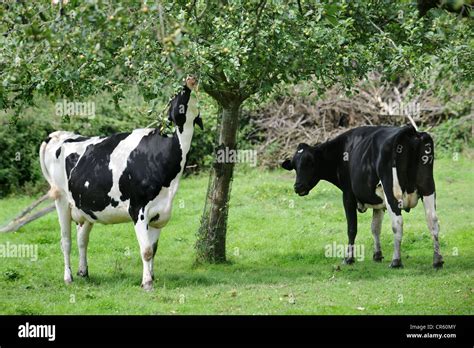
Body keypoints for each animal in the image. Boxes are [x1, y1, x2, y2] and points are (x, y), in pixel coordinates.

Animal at [39, 76, 203, 290]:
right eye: (176, 95)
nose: (188, 79)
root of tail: (59, 135)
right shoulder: (138, 210)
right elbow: (146, 250)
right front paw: (147, 283)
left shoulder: (160, 214)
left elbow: (153, 249)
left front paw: (151, 276)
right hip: (61, 201)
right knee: (65, 241)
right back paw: (68, 277)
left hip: (85, 206)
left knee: (82, 239)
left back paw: (83, 272)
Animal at [282, 125, 440, 270]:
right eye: (295, 165)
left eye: (311, 163)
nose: (298, 186)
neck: (341, 152)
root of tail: (409, 131)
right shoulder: (378, 201)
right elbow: (375, 227)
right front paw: (377, 255)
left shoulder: (348, 195)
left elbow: (352, 228)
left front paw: (349, 258)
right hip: (428, 187)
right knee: (432, 221)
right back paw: (437, 260)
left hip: (391, 191)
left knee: (397, 223)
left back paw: (396, 261)